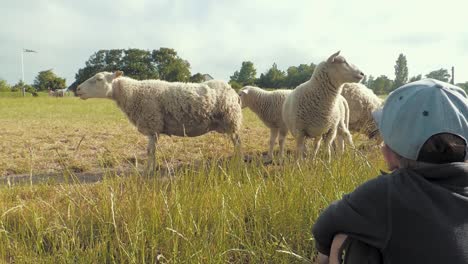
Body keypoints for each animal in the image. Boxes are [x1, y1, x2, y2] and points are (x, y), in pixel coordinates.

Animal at [75, 71, 243, 174]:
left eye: (99, 79)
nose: (77, 89)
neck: (132, 93)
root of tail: (232, 90)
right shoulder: (153, 129)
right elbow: (151, 151)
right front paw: (151, 169)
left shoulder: (152, 125)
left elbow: (150, 151)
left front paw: (147, 171)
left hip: (231, 120)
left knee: (238, 143)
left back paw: (238, 162)